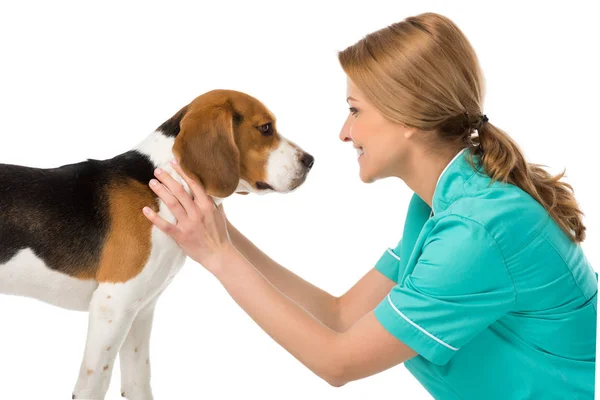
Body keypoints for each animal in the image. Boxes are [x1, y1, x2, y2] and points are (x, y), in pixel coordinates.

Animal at [0, 90, 314, 400]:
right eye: (266, 128)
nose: (311, 160)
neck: (161, 185)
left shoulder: (140, 311)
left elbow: (139, 382)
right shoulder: (112, 307)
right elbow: (93, 385)